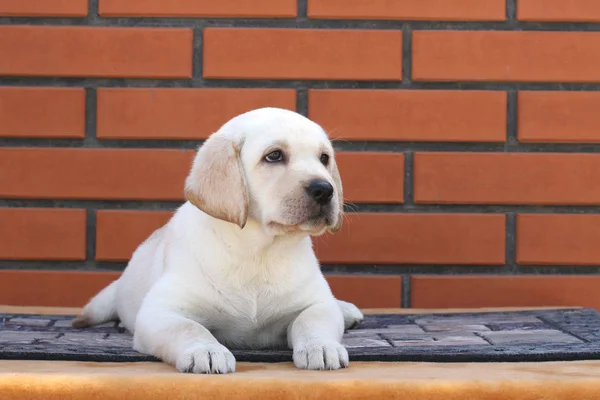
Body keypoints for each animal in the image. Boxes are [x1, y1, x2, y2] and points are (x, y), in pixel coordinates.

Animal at [75, 108, 366, 374]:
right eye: (274, 155)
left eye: (324, 158)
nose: (325, 189)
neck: (258, 251)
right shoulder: (160, 311)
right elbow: (189, 328)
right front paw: (206, 351)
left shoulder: (316, 302)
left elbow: (313, 319)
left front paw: (322, 346)